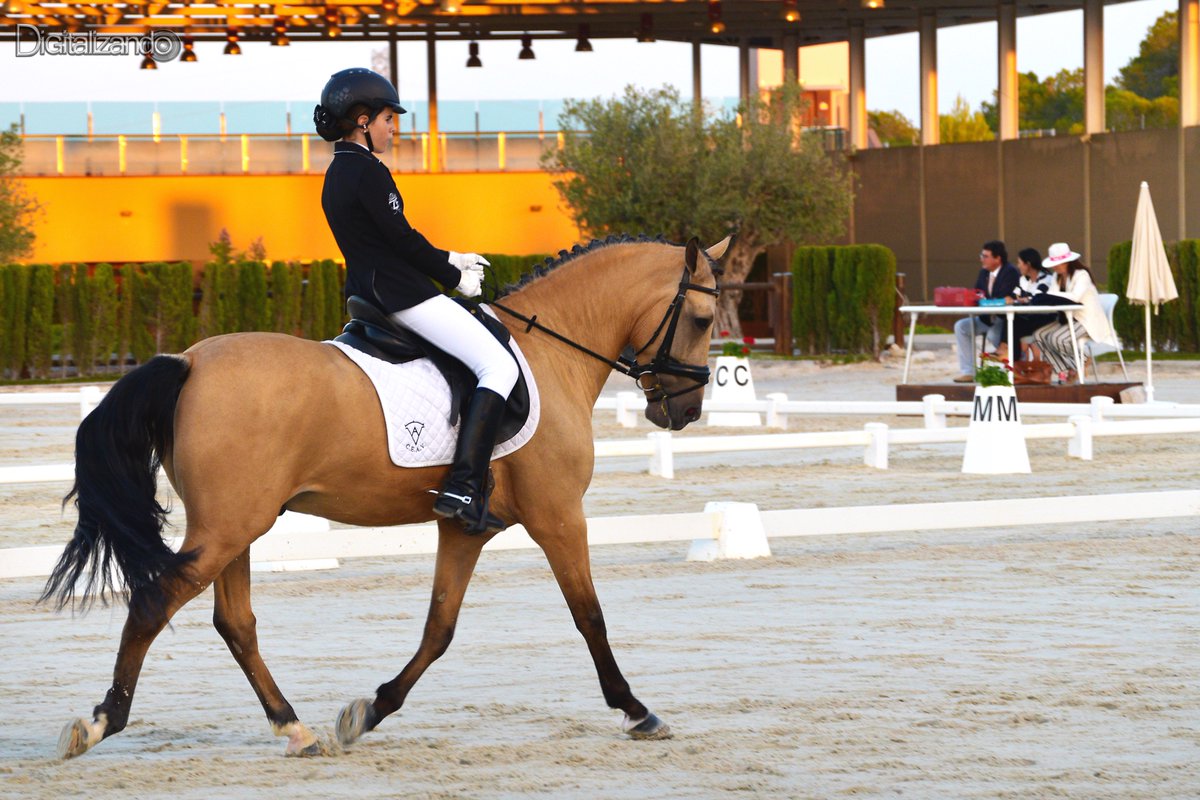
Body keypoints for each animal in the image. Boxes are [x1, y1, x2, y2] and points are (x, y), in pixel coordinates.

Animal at [42, 234, 729, 759]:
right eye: (701, 321)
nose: (684, 412)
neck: (551, 350)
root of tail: (187, 362)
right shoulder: (558, 516)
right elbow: (590, 616)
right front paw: (637, 711)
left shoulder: (467, 527)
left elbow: (439, 627)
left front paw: (369, 711)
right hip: (227, 528)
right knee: (154, 602)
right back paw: (100, 723)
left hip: (235, 527)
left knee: (234, 622)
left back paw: (296, 729)